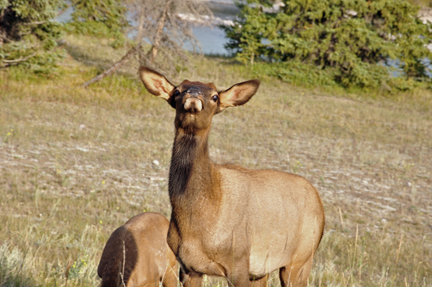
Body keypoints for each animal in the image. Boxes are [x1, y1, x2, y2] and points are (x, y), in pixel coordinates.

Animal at [138, 67, 324, 287]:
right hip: (263, 269)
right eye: (177, 90)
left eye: (215, 96)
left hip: (300, 260)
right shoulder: (189, 267)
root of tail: (320, 205)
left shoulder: (238, 261)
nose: (193, 94)